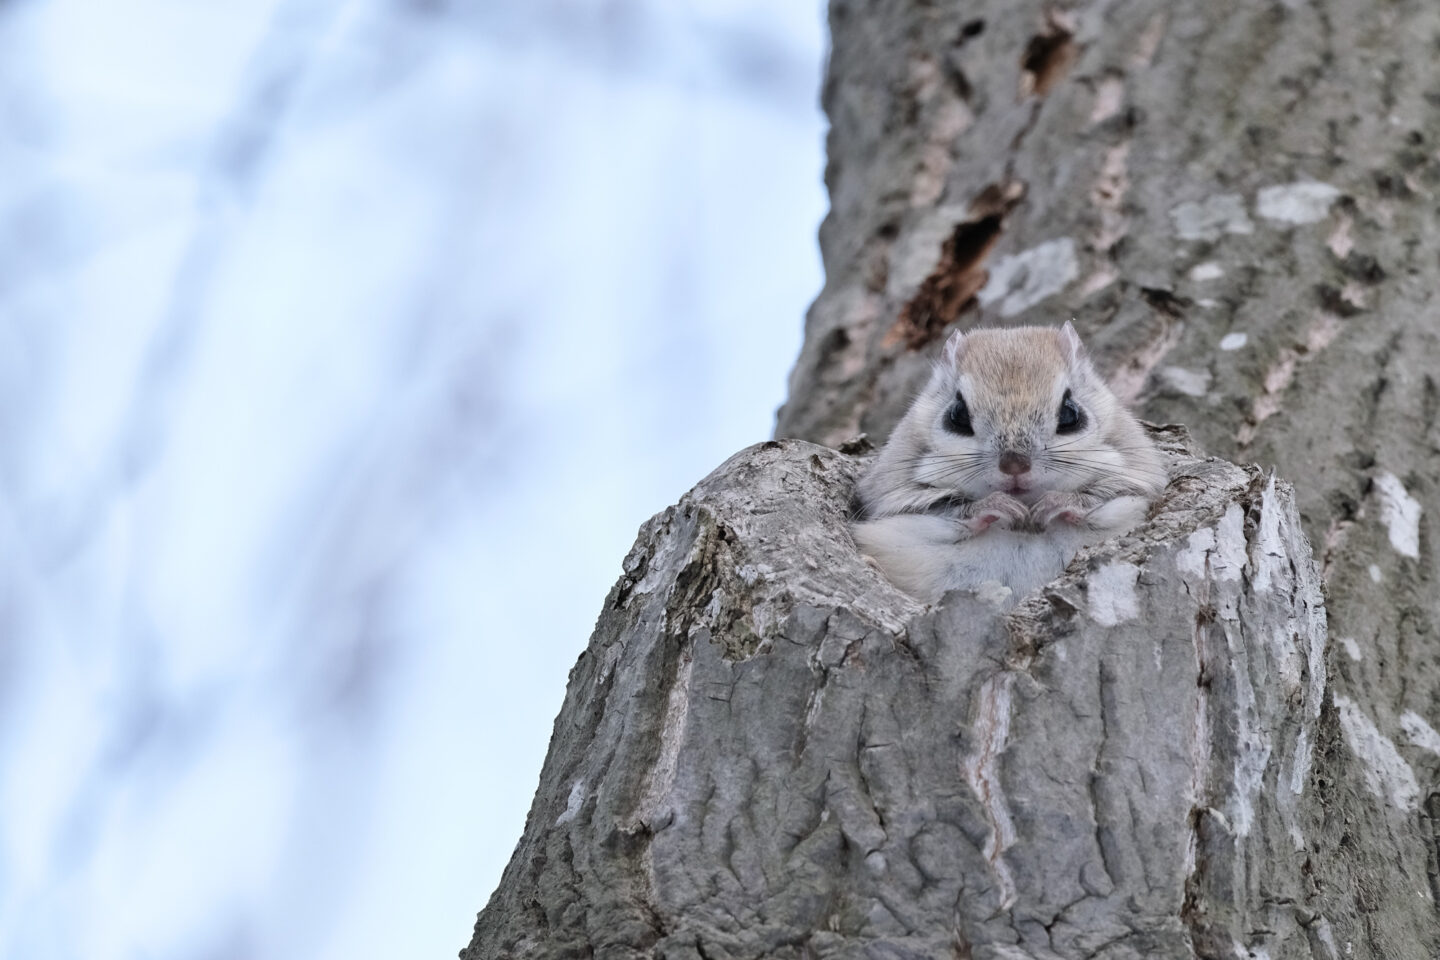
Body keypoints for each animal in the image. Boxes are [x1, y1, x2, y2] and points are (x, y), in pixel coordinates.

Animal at [850, 322, 1167, 604]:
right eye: (957, 415)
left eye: (1070, 413)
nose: (1014, 465)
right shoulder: (896, 498)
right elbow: (949, 508)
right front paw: (1001, 507)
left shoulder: (1134, 480)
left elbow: (1095, 497)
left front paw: (1052, 504)